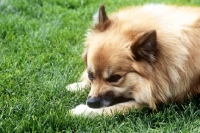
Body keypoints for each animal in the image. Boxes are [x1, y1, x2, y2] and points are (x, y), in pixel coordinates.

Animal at [66, 3, 200, 117]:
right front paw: (77, 86)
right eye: (91, 75)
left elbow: (118, 107)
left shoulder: (155, 98)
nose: (91, 102)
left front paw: (83, 111)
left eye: (115, 78)